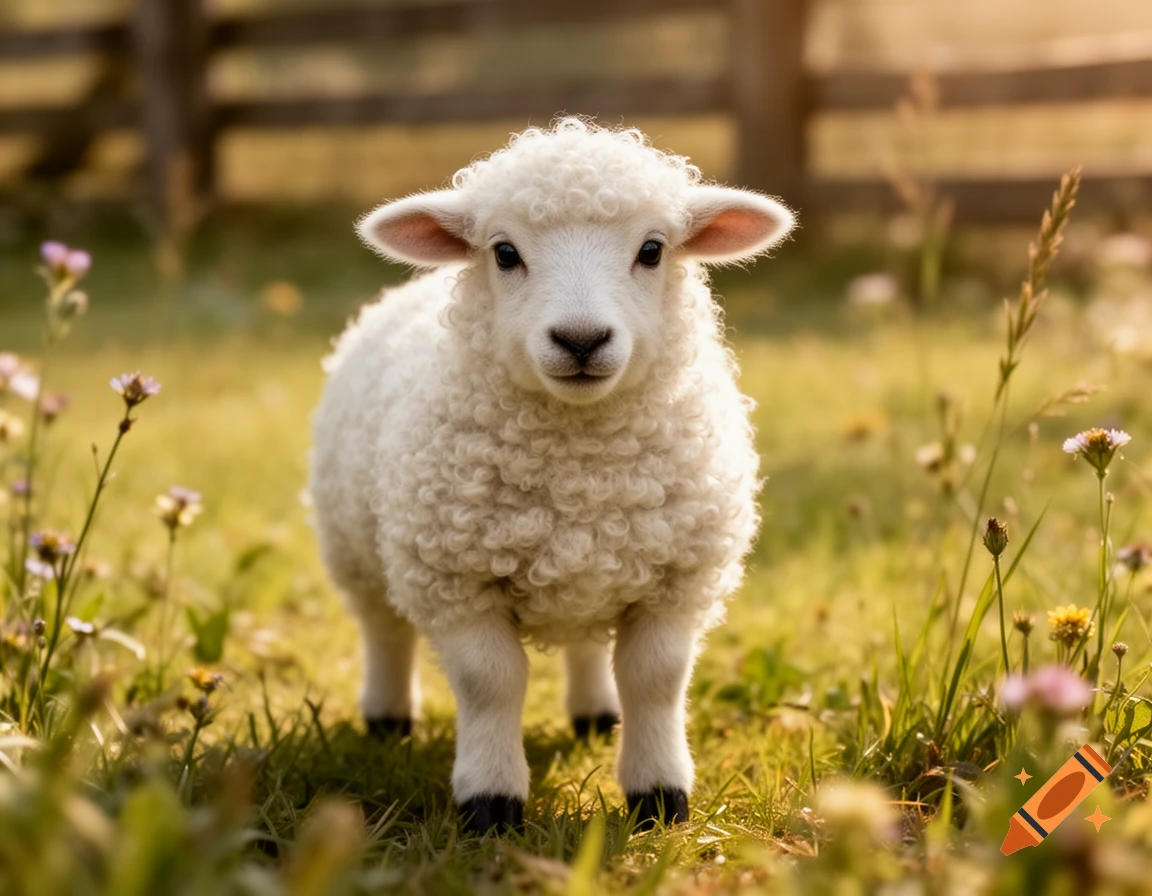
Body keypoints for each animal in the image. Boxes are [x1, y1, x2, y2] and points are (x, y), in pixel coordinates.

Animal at [309, 118, 795, 834]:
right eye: (505, 253)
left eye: (653, 250)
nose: (581, 339)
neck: (579, 472)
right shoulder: (455, 579)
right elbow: (491, 681)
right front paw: (490, 803)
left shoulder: (677, 581)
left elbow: (655, 677)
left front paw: (659, 798)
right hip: (355, 546)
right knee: (384, 629)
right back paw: (388, 717)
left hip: (598, 572)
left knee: (590, 645)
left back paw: (597, 714)